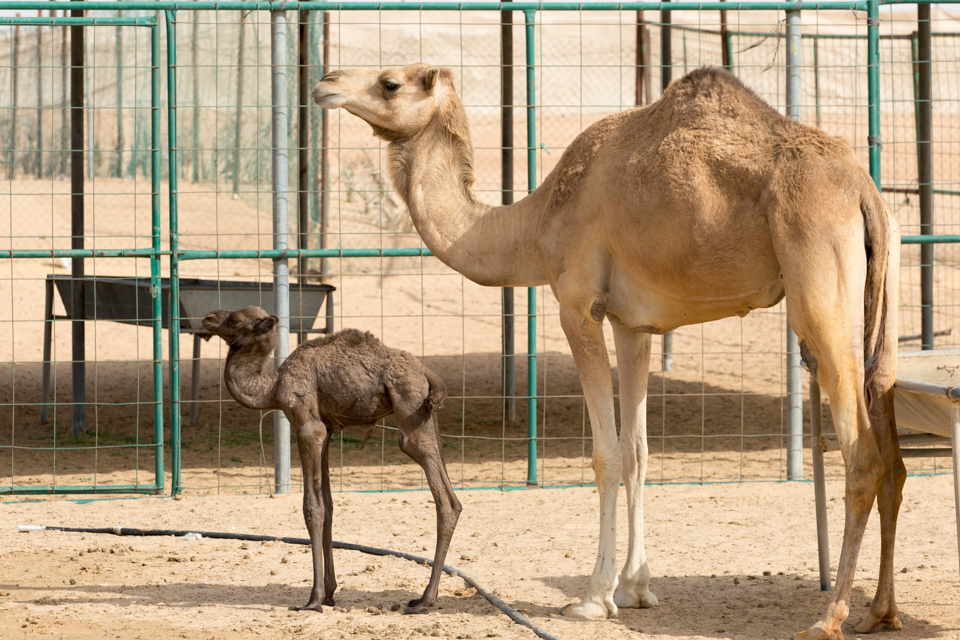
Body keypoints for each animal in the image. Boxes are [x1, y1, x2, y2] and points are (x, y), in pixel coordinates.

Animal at [202, 306, 461, 614]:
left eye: (234, 321)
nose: (207, 318)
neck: (273, 386)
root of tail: (425, 371)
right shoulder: (326, 431)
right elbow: (328, 504)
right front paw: (329, 593)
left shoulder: (307, 427)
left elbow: (312, 507)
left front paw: (313, 599)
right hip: (426, 416)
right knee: (450, 487)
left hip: (409, 410)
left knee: (444, 499)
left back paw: (423, 601)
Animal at [312, 64, 902, 639]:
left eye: (390, 83)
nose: (325, 83)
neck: (533, 224)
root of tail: (863, 191)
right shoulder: (633, 324)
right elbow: (638, 451)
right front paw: (638, 589)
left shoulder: (579, 308)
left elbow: (606, 453)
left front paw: (595, 597)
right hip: (881, 293)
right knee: (890, 452)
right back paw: (879, 612)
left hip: (819, 287)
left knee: (861, 455)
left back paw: (829, 618)